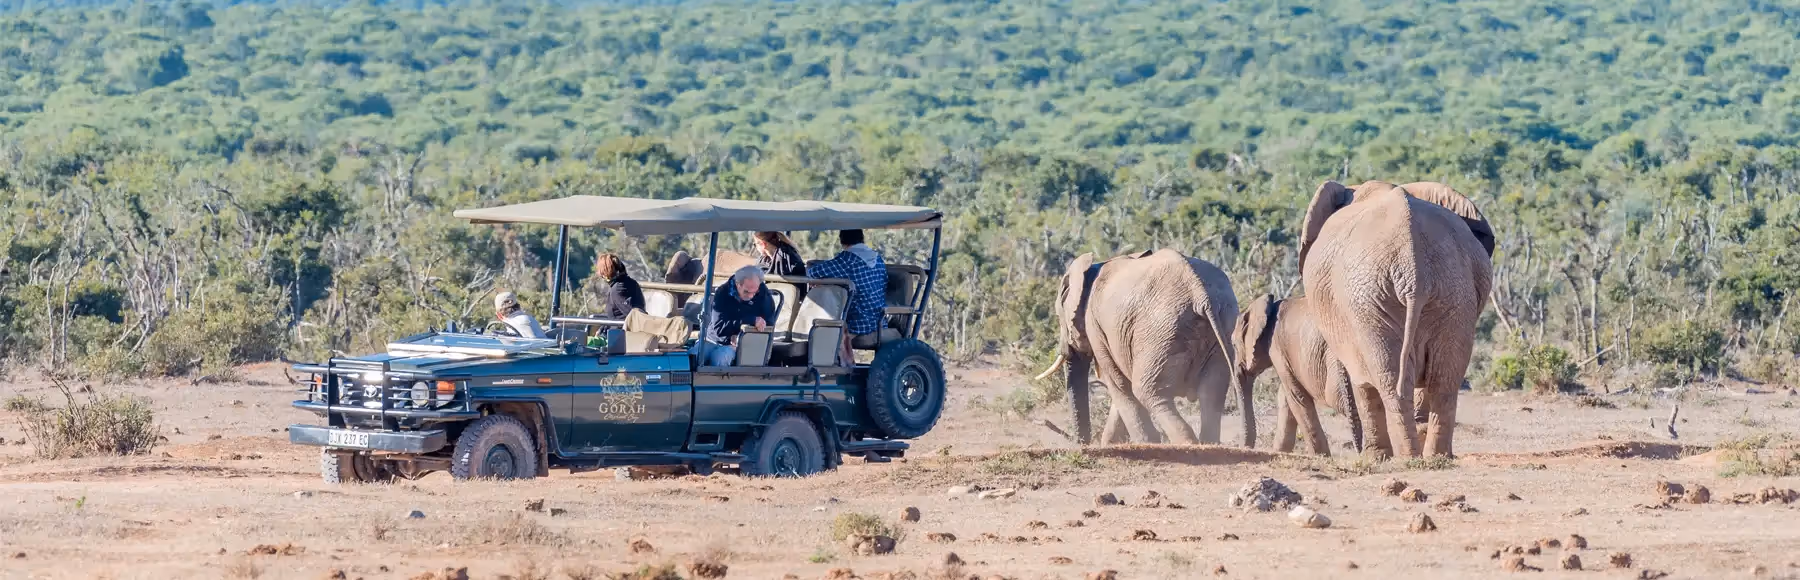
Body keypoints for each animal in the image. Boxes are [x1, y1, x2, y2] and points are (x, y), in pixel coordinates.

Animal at [1034, 249, 1253, 447]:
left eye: (1058, 317)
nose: (1083, 445)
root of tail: (1200, 294)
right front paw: (1112, 444)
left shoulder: (1095, 326)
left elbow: (1118, 383)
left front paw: (1142, 443)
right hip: (1223, 324)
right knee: (1211, 392)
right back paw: (1208, 444)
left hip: (1161, 330)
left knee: (1148, 390)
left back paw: (1186, 444)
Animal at [1234, 294, 1362, 456]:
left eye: (1233, 345)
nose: (1245, 447)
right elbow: (1285, 395)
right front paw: (1280, 452)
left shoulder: (1277, 348)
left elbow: (1296, 396)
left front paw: (1320, 457)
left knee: (1337, 400)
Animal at [1299, 180, 1495, 459]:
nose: (1355, 450)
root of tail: (1413, 269)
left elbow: (1362, 381)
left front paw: (1375, 458)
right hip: (1452, 291)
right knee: (1444, 380)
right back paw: (1436, 456)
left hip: (1368, 301)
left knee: (1389, 380)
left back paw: (1405, 457)